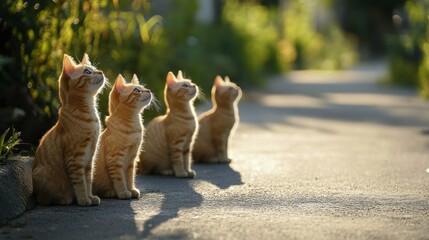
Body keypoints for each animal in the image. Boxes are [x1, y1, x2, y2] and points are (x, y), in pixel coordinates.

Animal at [32, 54, 104, 206]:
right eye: (87, 72)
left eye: (94, 69)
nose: (101, 72)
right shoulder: (75, 158)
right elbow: (80, 182)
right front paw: (83, 199)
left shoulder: (89, 159)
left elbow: (88, 181)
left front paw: (90, 196)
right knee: (45, 199)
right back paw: (64, 199)